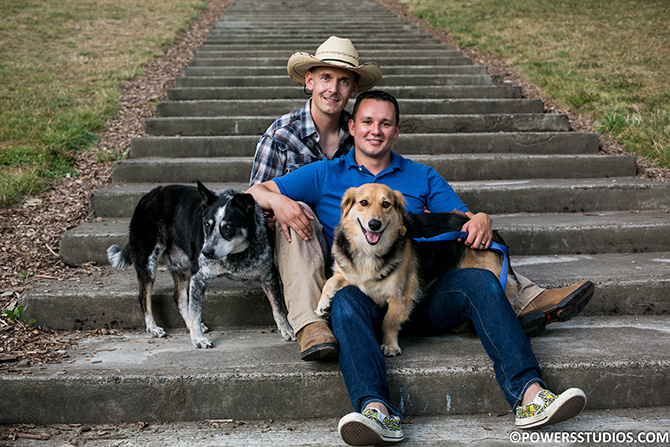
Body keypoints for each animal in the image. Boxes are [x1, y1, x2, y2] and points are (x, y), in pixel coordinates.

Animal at [107, 182, 294, 350]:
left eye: (228, 227)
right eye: (206, 224)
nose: (206, 252)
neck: (236, 255)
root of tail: (148, 196)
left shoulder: (268, 275)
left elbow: (278, 307)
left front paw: (286, 329)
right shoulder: (199, 277)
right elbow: (196, 312)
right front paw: (198, 339)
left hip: (181, 266)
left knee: (179, 297)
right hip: (148, 261)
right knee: (144, 297)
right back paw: (153, 327)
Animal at [318, 183, 516, 356]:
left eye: (386, 204)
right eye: (364, 202)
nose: (374, 224)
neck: (369, 252)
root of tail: (492, 235)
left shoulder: (401, 296)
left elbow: (388, 322)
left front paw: (390, 345)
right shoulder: (349, 273)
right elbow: (331, 281)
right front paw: (323, 305)